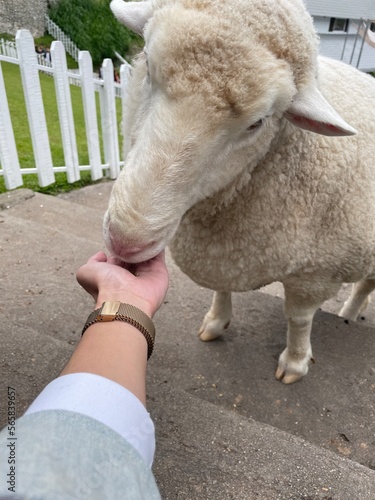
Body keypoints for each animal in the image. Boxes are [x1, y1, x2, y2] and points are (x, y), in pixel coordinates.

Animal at [104, 0, 375, 382]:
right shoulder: (226, 254)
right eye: (146, 64)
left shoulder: (316, 274)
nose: (126, 241)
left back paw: (348, 314)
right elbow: (222, 286)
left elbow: (299, 319)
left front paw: (295, 362)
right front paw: (216, 322)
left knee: (365, 284)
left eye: (257, 122)